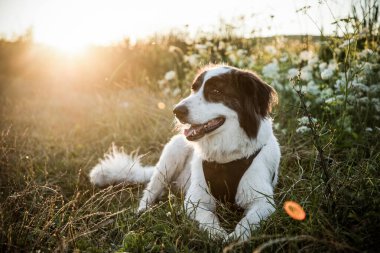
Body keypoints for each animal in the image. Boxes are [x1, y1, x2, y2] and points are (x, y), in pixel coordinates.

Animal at [88, 64, 280, 241]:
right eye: (193, 89)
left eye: (216, 91)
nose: (177, 111)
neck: (225, 154)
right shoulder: (195, 200)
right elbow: (208, 217)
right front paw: (217, 234)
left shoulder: (262, 200)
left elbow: (247, 222)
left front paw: (234, 238)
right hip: (170, 156)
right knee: (151, 190)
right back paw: (143, 211)